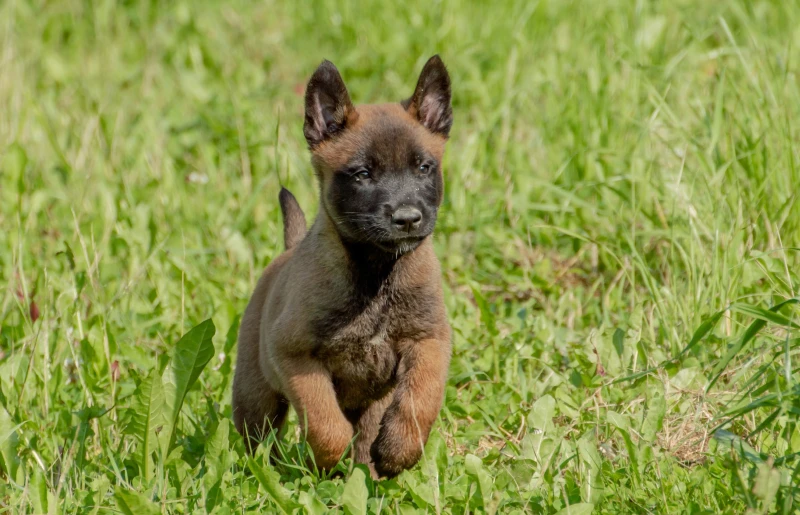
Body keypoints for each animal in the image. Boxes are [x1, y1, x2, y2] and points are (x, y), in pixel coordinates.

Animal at [234, 54, 454, 478]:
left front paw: (400, 450)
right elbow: (325, 422)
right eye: (363, 174)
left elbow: (421, 397)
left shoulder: (429, 340)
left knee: (367, 433)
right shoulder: (294, 356)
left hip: (372, 402)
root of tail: (287, 252)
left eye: (423, 168)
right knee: (258, 436)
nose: (407, 218)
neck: (376, 274)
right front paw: (322, 461)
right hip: (255, 394)